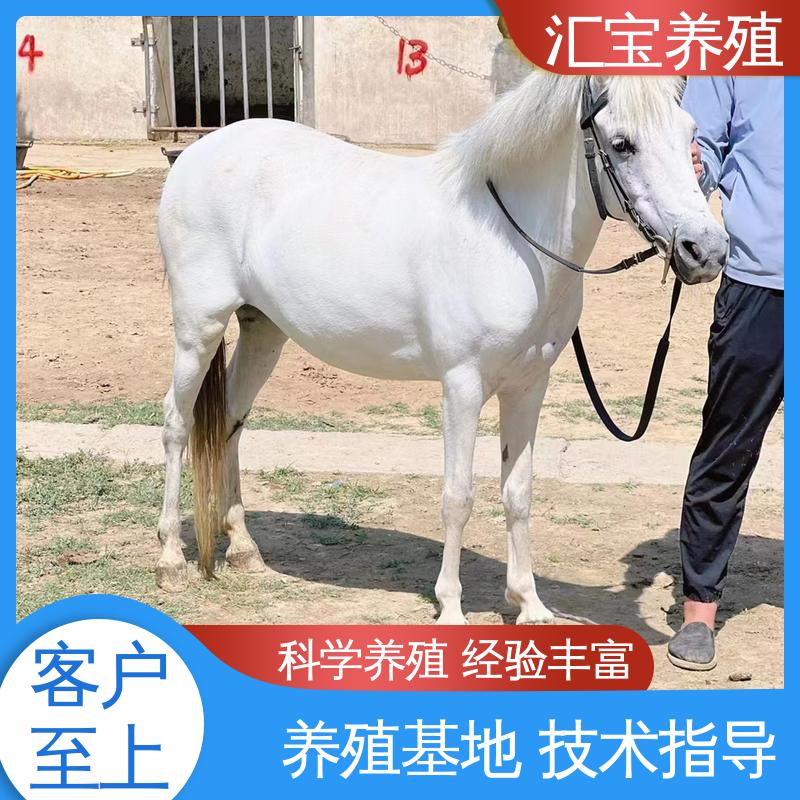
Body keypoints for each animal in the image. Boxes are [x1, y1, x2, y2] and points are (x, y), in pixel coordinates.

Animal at [156, 72, 728, 625]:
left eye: (689, 135)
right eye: (622, 143)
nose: (707, 250)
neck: (507, 240)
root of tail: (201, 151)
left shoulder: (528, 386)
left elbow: (518, 493)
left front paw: (530, 605)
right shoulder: (463, 387)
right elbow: (458, 497)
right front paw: (451, 607)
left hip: (263, 330)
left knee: (230, 421)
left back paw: (244, 550)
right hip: (199, 328)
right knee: (179, 423)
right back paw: (171, 560)